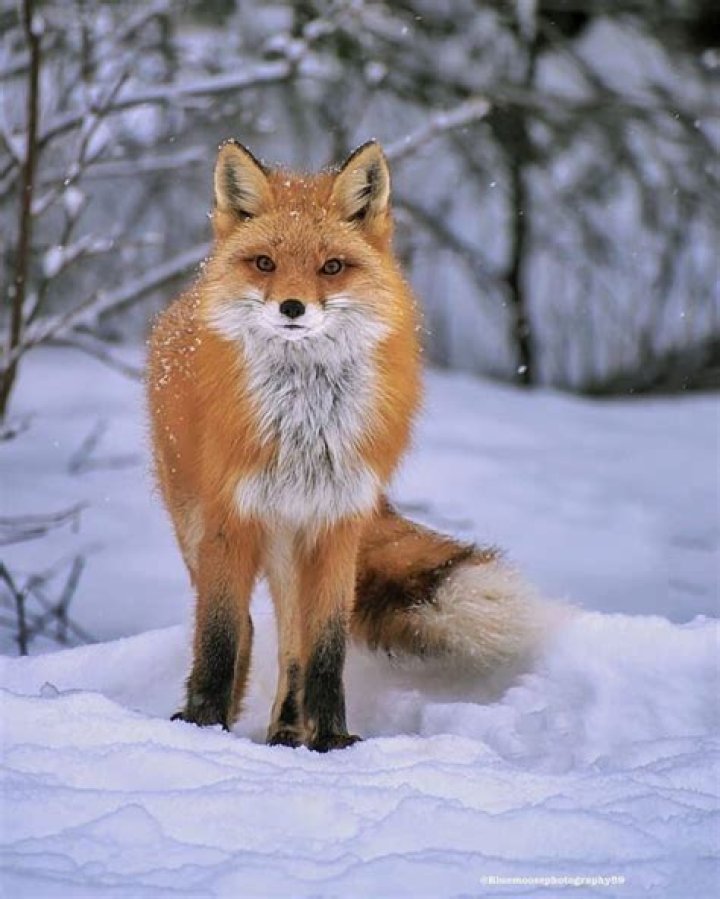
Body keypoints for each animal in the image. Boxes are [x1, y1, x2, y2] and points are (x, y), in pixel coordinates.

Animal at [147, 140, 550, 752]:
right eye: (264, 264)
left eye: (331, 267)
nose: (292, 307)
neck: (302, 426)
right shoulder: (229, 518)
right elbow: (217, 636)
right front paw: (203, 727)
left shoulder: (338, 522)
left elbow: (325, 649)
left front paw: (331, 739)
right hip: (198, 524)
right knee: (239, 623)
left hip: (293, 540)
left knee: (291, 637)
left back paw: (287, 729)